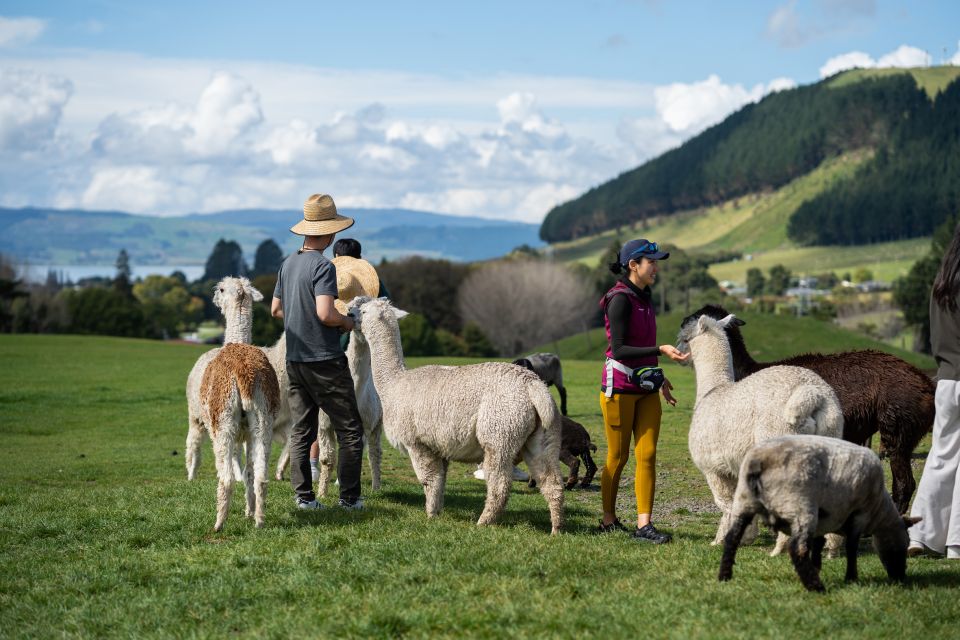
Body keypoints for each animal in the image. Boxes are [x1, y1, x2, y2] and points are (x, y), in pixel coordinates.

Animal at [350, 298, 564, 532]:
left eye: (363, 310)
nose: (349, 314)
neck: (394, 385)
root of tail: (533, 385)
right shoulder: (438, 446)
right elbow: (440, 481)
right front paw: (437, 511)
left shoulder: (417, 442)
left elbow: (428, 480)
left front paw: (430, 516)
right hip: (543, 435)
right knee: (551, 480)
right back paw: (556, 529)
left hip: (500, 430)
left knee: (499, 483)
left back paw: (483, 523)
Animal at [680, 314, 844, 552]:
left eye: (686, 333)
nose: (679, 348)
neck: (712, 392)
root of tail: (812, 394)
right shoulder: (735, 466)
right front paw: (742, 536)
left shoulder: (713, 468)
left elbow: (725, 503)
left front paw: (723, 540)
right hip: (831, 434)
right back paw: (832, 547)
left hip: (779, 441)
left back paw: (780, 549)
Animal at [716, 432, 920, 592]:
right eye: (903, 545)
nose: (900, 578)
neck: (879, 512)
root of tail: (759, 462)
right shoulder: (859, 514)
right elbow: (851, 547)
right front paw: (851, 577)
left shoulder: (824, 521)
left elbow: (818, 543)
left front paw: (817, 566)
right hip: (800, 506)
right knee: (797, 548)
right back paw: (816, 587)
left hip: (743, 501)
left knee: (732, 539)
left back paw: (724, 577)